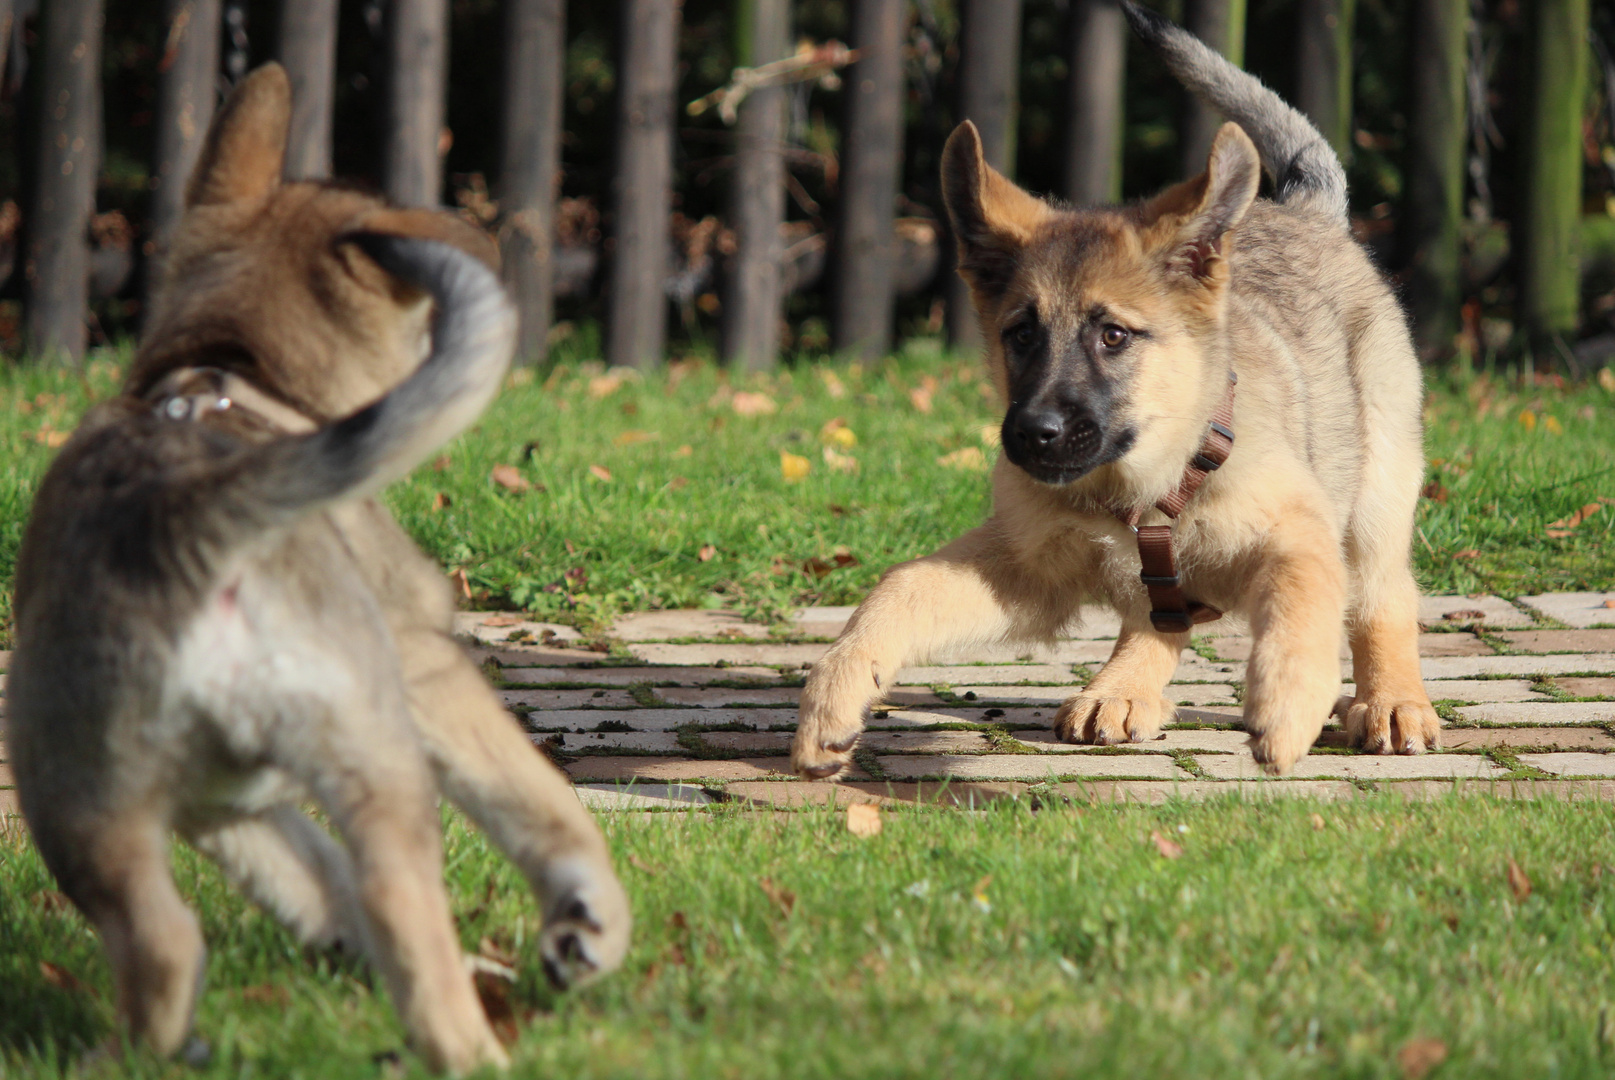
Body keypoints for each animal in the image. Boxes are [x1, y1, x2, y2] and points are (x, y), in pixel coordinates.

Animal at [3, 65, 626, 1071]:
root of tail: (188, 523)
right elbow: (538, 799)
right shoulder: (426, 664)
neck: (232, 377)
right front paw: (588, 916)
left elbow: (304, 867)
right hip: (375, 752)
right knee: (398, 905)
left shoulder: (221, 805)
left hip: (90, 807)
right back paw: (473, 1048)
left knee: (164, 940)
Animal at [794, 0, 1440, 774]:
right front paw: (834, 692)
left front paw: (1286, 704)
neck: (1141, 490)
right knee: (1155, 618)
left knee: (1382, 596)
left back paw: (1393, 701)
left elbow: (1304, 599)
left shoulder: (1298, 528)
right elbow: (902, 586)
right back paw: (1122, 688)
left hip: (1378, 489)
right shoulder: (1024, 564)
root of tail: (1305, 211)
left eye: (1113, 336)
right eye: (1020, 335)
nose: (1032, 434)